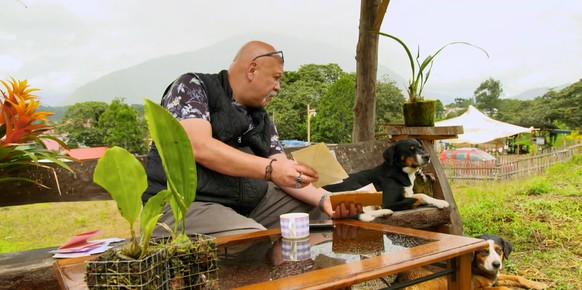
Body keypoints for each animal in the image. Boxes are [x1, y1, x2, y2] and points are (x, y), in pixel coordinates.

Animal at [322, 138, 450, 222]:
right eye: (410, 150)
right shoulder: (389, 201)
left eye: (421, 147)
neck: (399, 170)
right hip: (356, 185)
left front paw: (439, 202)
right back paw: (383, 211)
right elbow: (417, 198)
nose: (427, 156)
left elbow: (422, 195)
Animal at [394, 234, 548, 288]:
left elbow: (517, 277)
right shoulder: (479, 288)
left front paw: (536, 284)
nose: (496, 264)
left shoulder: (495, 277)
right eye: (483, 251)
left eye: (499, 250)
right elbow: (504, 288)